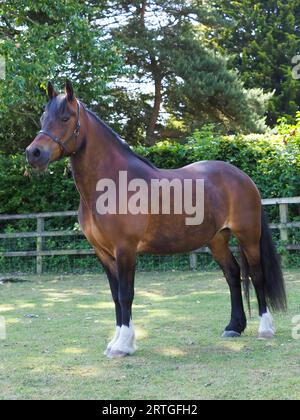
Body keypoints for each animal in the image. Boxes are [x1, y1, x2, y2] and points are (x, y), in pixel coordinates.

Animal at [25, 81, 286, 358]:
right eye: (43, 118)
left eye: (65, 118)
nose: (34, 153)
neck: (111, 184)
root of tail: (243, 177)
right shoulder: (103, 253)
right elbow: (115, 296)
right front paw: (116, 342)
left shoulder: (125, 250)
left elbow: (126, 294)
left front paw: (124, 345)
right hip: (217, 239)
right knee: (233, 274)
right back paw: (233, 327)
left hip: (248, 236)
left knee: (257, 275)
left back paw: (265, 329)